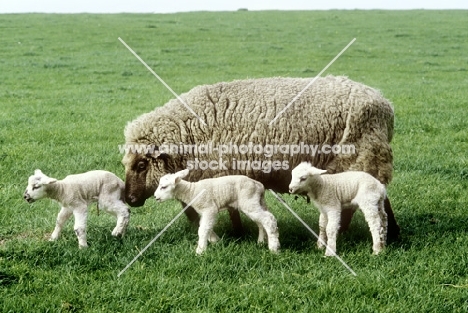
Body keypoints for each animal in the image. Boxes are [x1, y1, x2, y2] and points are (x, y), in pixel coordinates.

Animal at [122, 75, 400, 239]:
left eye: (142, 164)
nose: (130, 199)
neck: (189, 132)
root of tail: (384, 103)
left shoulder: (222, 172)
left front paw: (236, 233)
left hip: (363, 157)